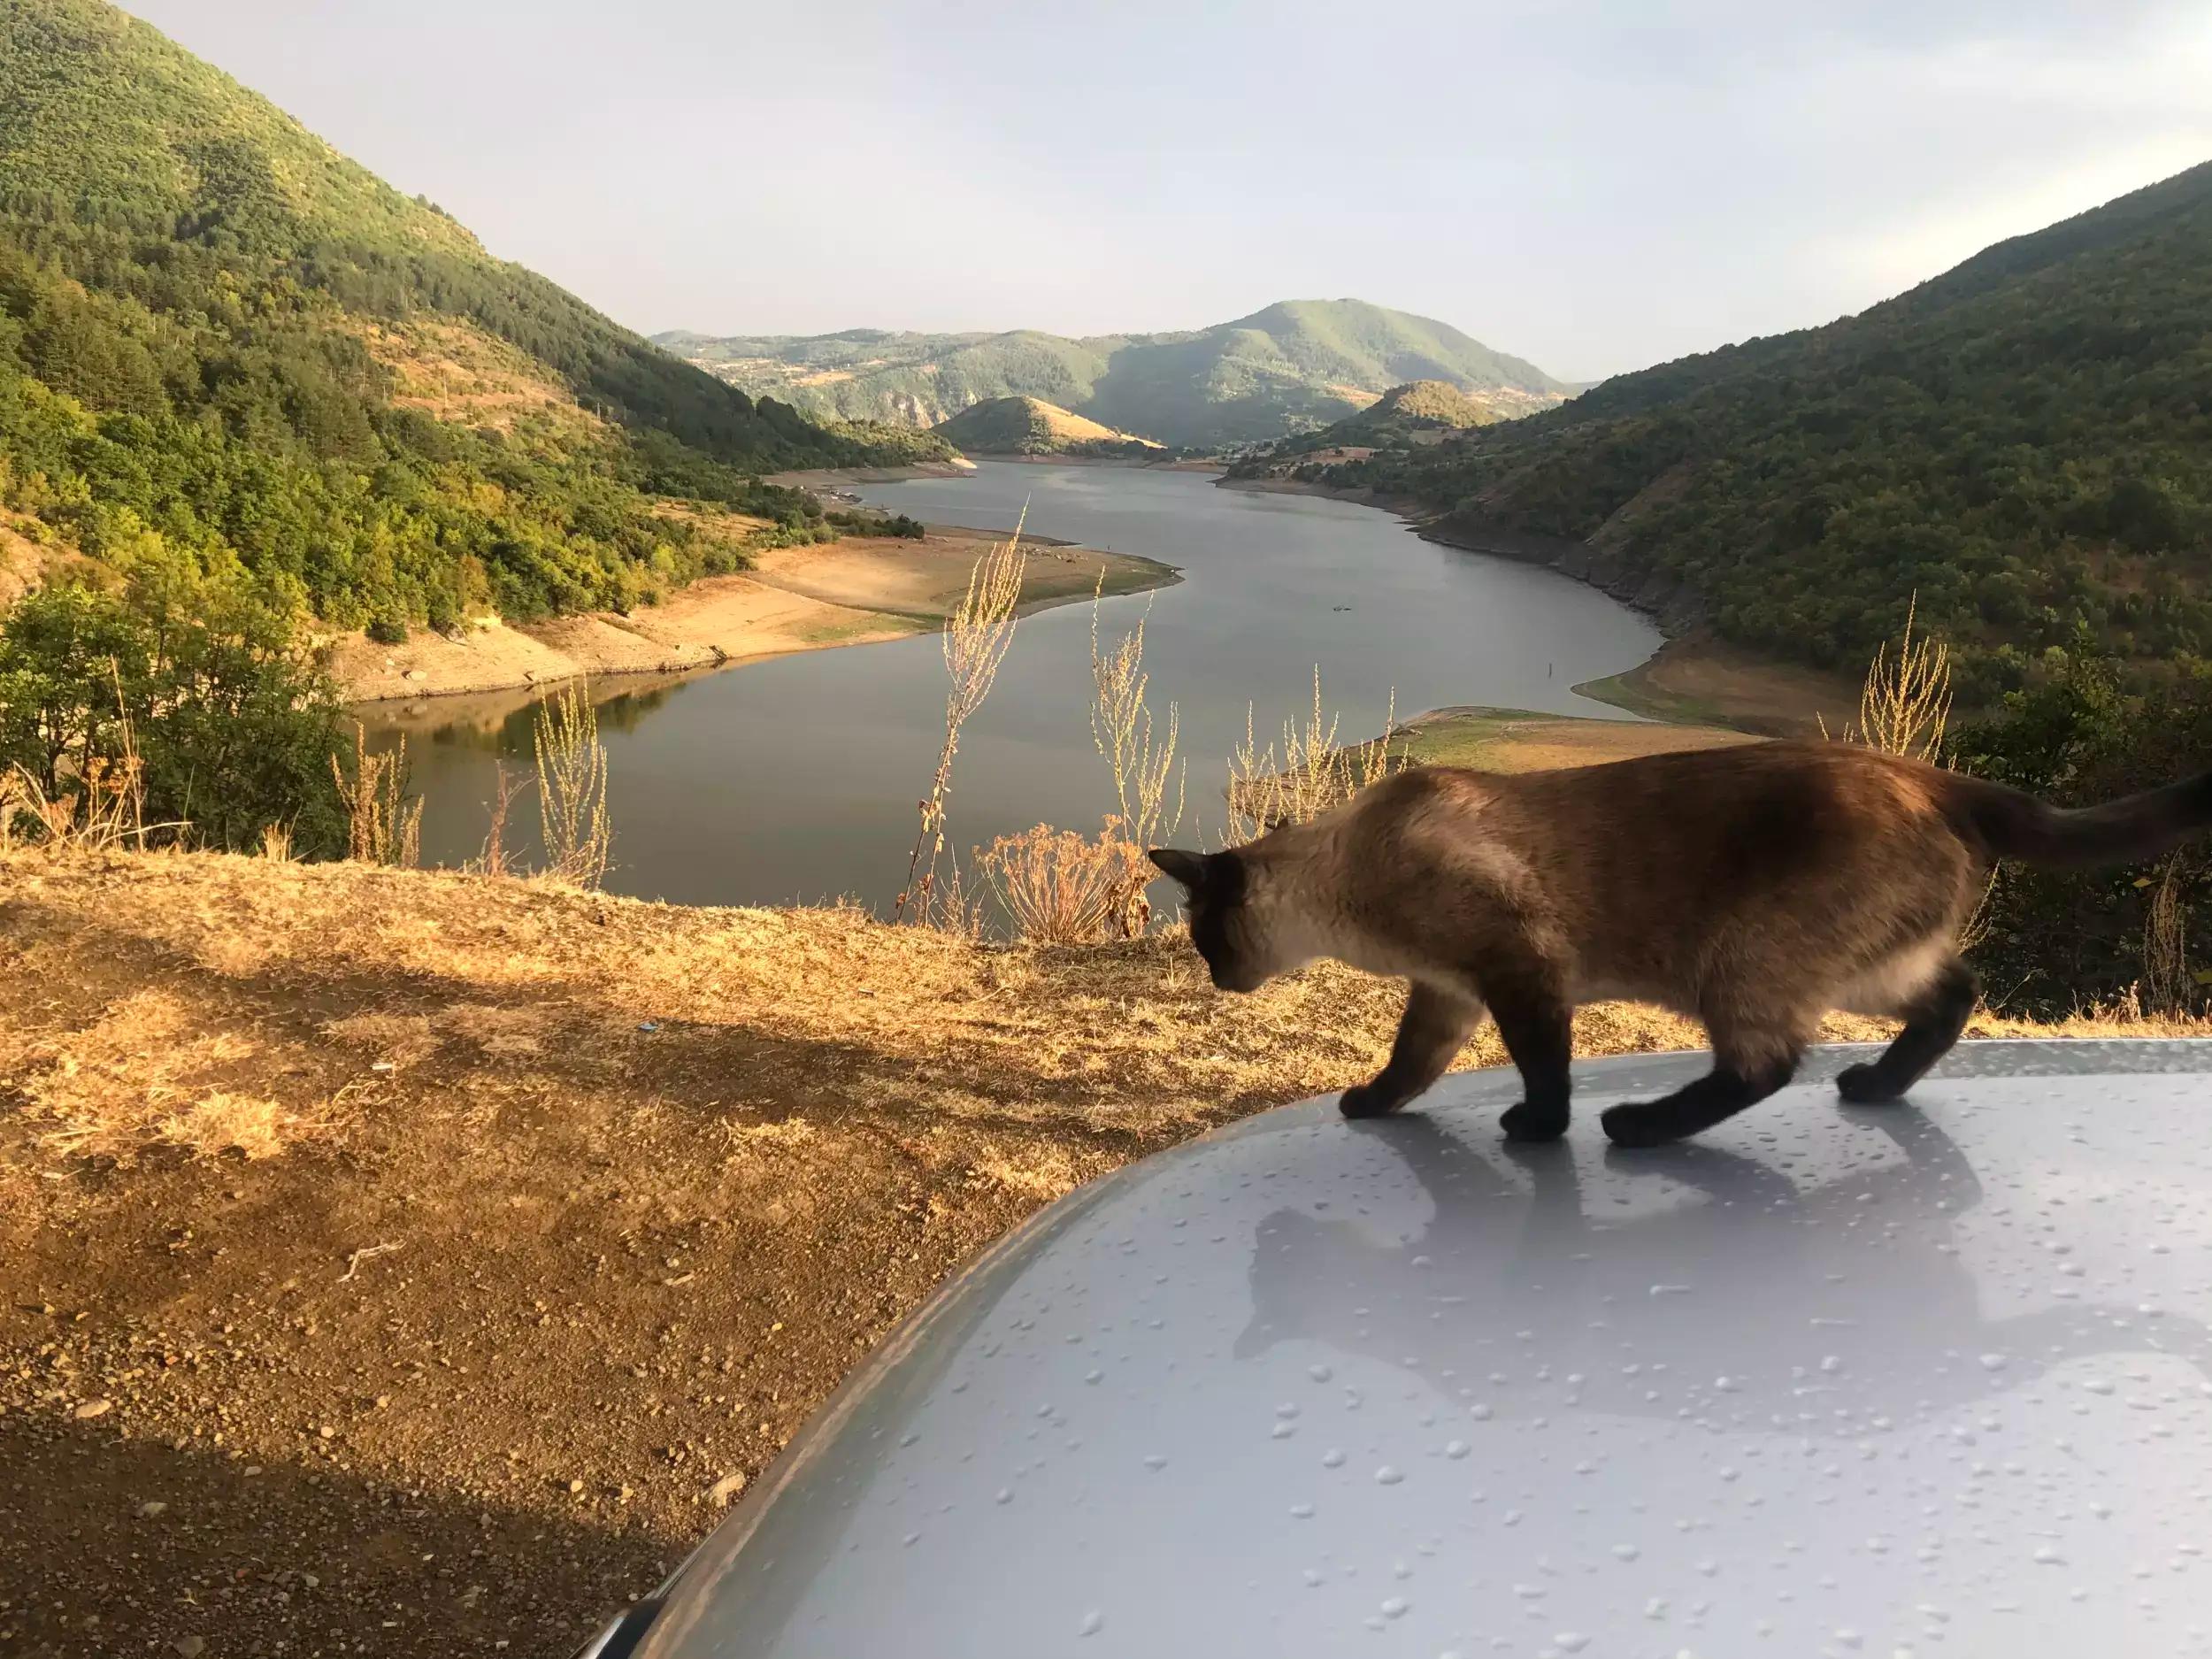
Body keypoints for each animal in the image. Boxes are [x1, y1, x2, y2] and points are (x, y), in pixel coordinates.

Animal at [1150, 743, 2203, 1150]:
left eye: (1204, 936)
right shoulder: (1449, 990)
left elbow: (1545, 1071)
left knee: (1765, 1065)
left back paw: (1637, 1127)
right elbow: (1409, 1067)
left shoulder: (1518, 971)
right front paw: (1366, 1105)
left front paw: (1538, 1131)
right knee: (1954, 994)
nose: (1216, 979)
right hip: (1867, 971)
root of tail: (1929, 775)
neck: (1350, 881)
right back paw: (1872, 1087)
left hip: (1739, 959)